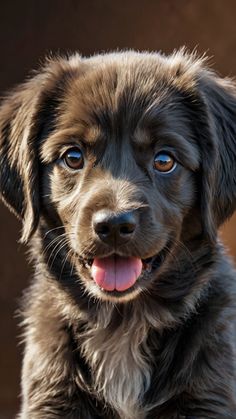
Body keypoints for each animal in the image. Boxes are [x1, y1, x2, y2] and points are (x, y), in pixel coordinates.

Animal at [0, 50, 235, 419]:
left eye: (164, 160)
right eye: (73, 156)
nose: (112, 224)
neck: (123, 324)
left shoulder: (207, 397)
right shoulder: (52, 399)